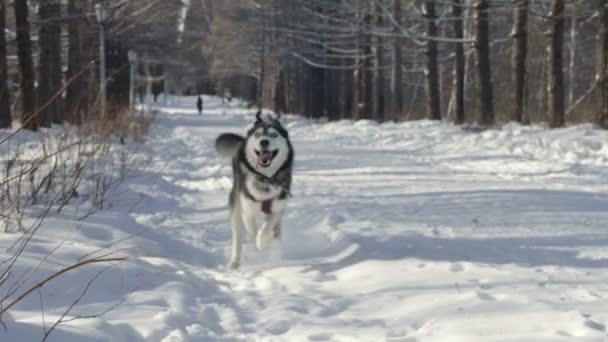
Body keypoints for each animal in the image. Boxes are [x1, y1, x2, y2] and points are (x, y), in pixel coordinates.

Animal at [216, 112, 294, 270]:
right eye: (258, 135)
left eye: (274, 134)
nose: (264, 142)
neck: (266, 178)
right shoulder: (247, 210)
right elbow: (253, 233)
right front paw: (259, 244)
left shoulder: (276, 207)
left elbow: (267, 227)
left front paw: (265, 239)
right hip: (235, 206)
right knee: (237, 235)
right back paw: (235, 261)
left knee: (277, 226)